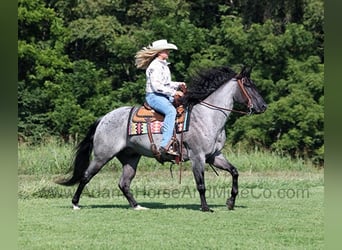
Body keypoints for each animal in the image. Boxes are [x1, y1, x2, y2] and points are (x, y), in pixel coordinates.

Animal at [56, 65, 268, 212]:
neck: (207, 116)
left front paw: (230, 202)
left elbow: (234, 172)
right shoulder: (197, 157)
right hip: (102, 155)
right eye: (248, 85)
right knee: (86, 176)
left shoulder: (214, 156)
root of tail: (103, 119)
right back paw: (75, 204)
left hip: (130, 158)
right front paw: (206, 207)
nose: (263, 107)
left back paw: (137, 206)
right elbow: (201, 184)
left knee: (124, 183)